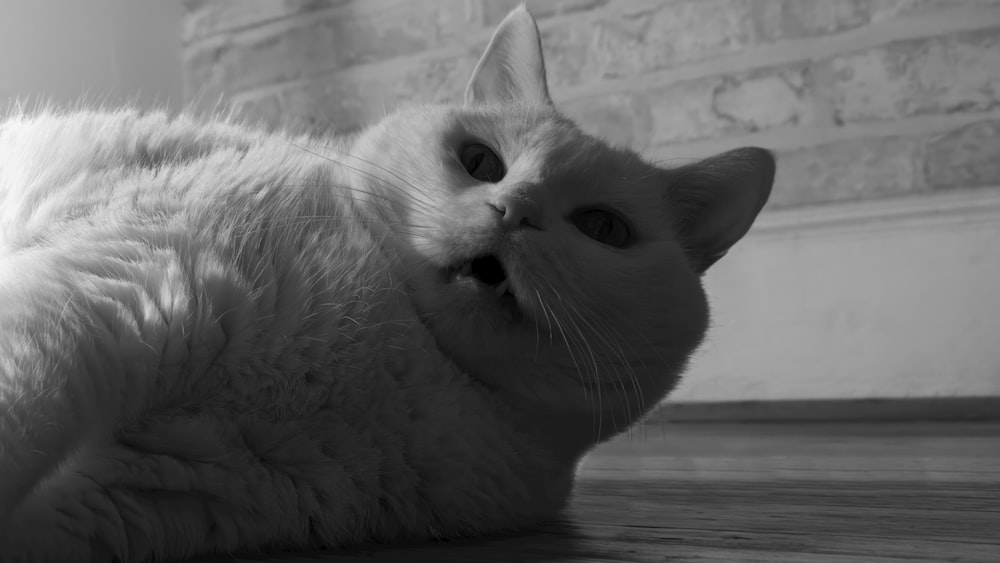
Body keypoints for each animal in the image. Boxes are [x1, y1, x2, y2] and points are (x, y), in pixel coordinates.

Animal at [0, 5, 772, 563]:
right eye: (480, 161)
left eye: (603, 227)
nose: (513, 209)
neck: (408, 359)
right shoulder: (120, 292)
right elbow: (24, 399)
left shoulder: (149, 488)